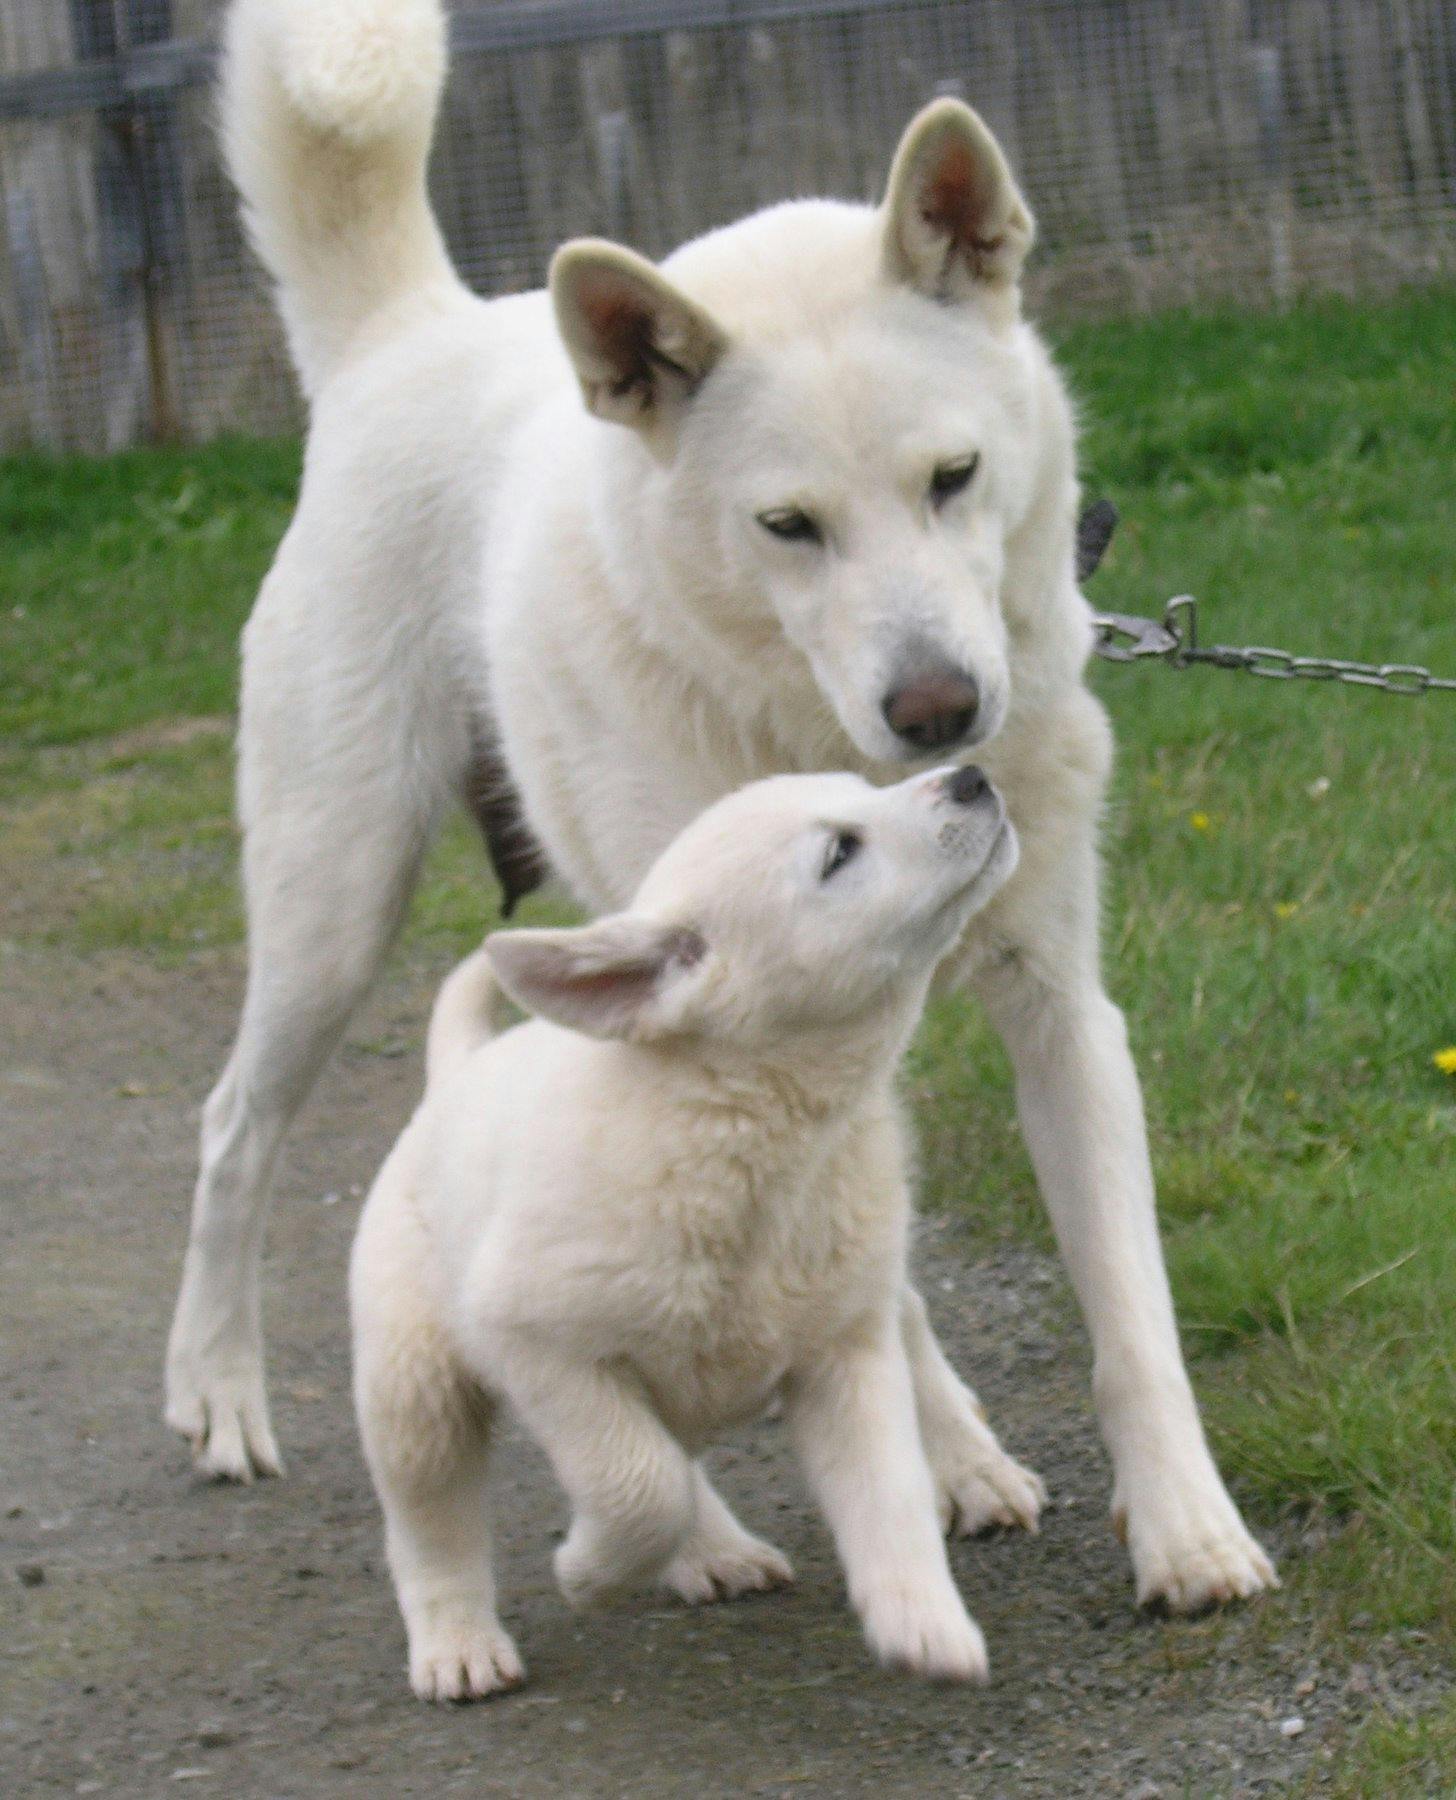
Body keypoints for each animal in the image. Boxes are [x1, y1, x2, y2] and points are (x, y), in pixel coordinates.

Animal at [350, 763, 1036, 1699]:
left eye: (861, 786)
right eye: (839, 852)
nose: (970, 776)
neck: (751, 1136)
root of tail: (456, 1075)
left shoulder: (846, 1353)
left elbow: (886, 1493)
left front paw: (924, 1626)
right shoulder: (537, 1345)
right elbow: (639, 1487)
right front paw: (589, 1573)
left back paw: (712, 1553)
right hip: (412, 1380)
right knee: (431, 1517)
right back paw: (458, 1643)